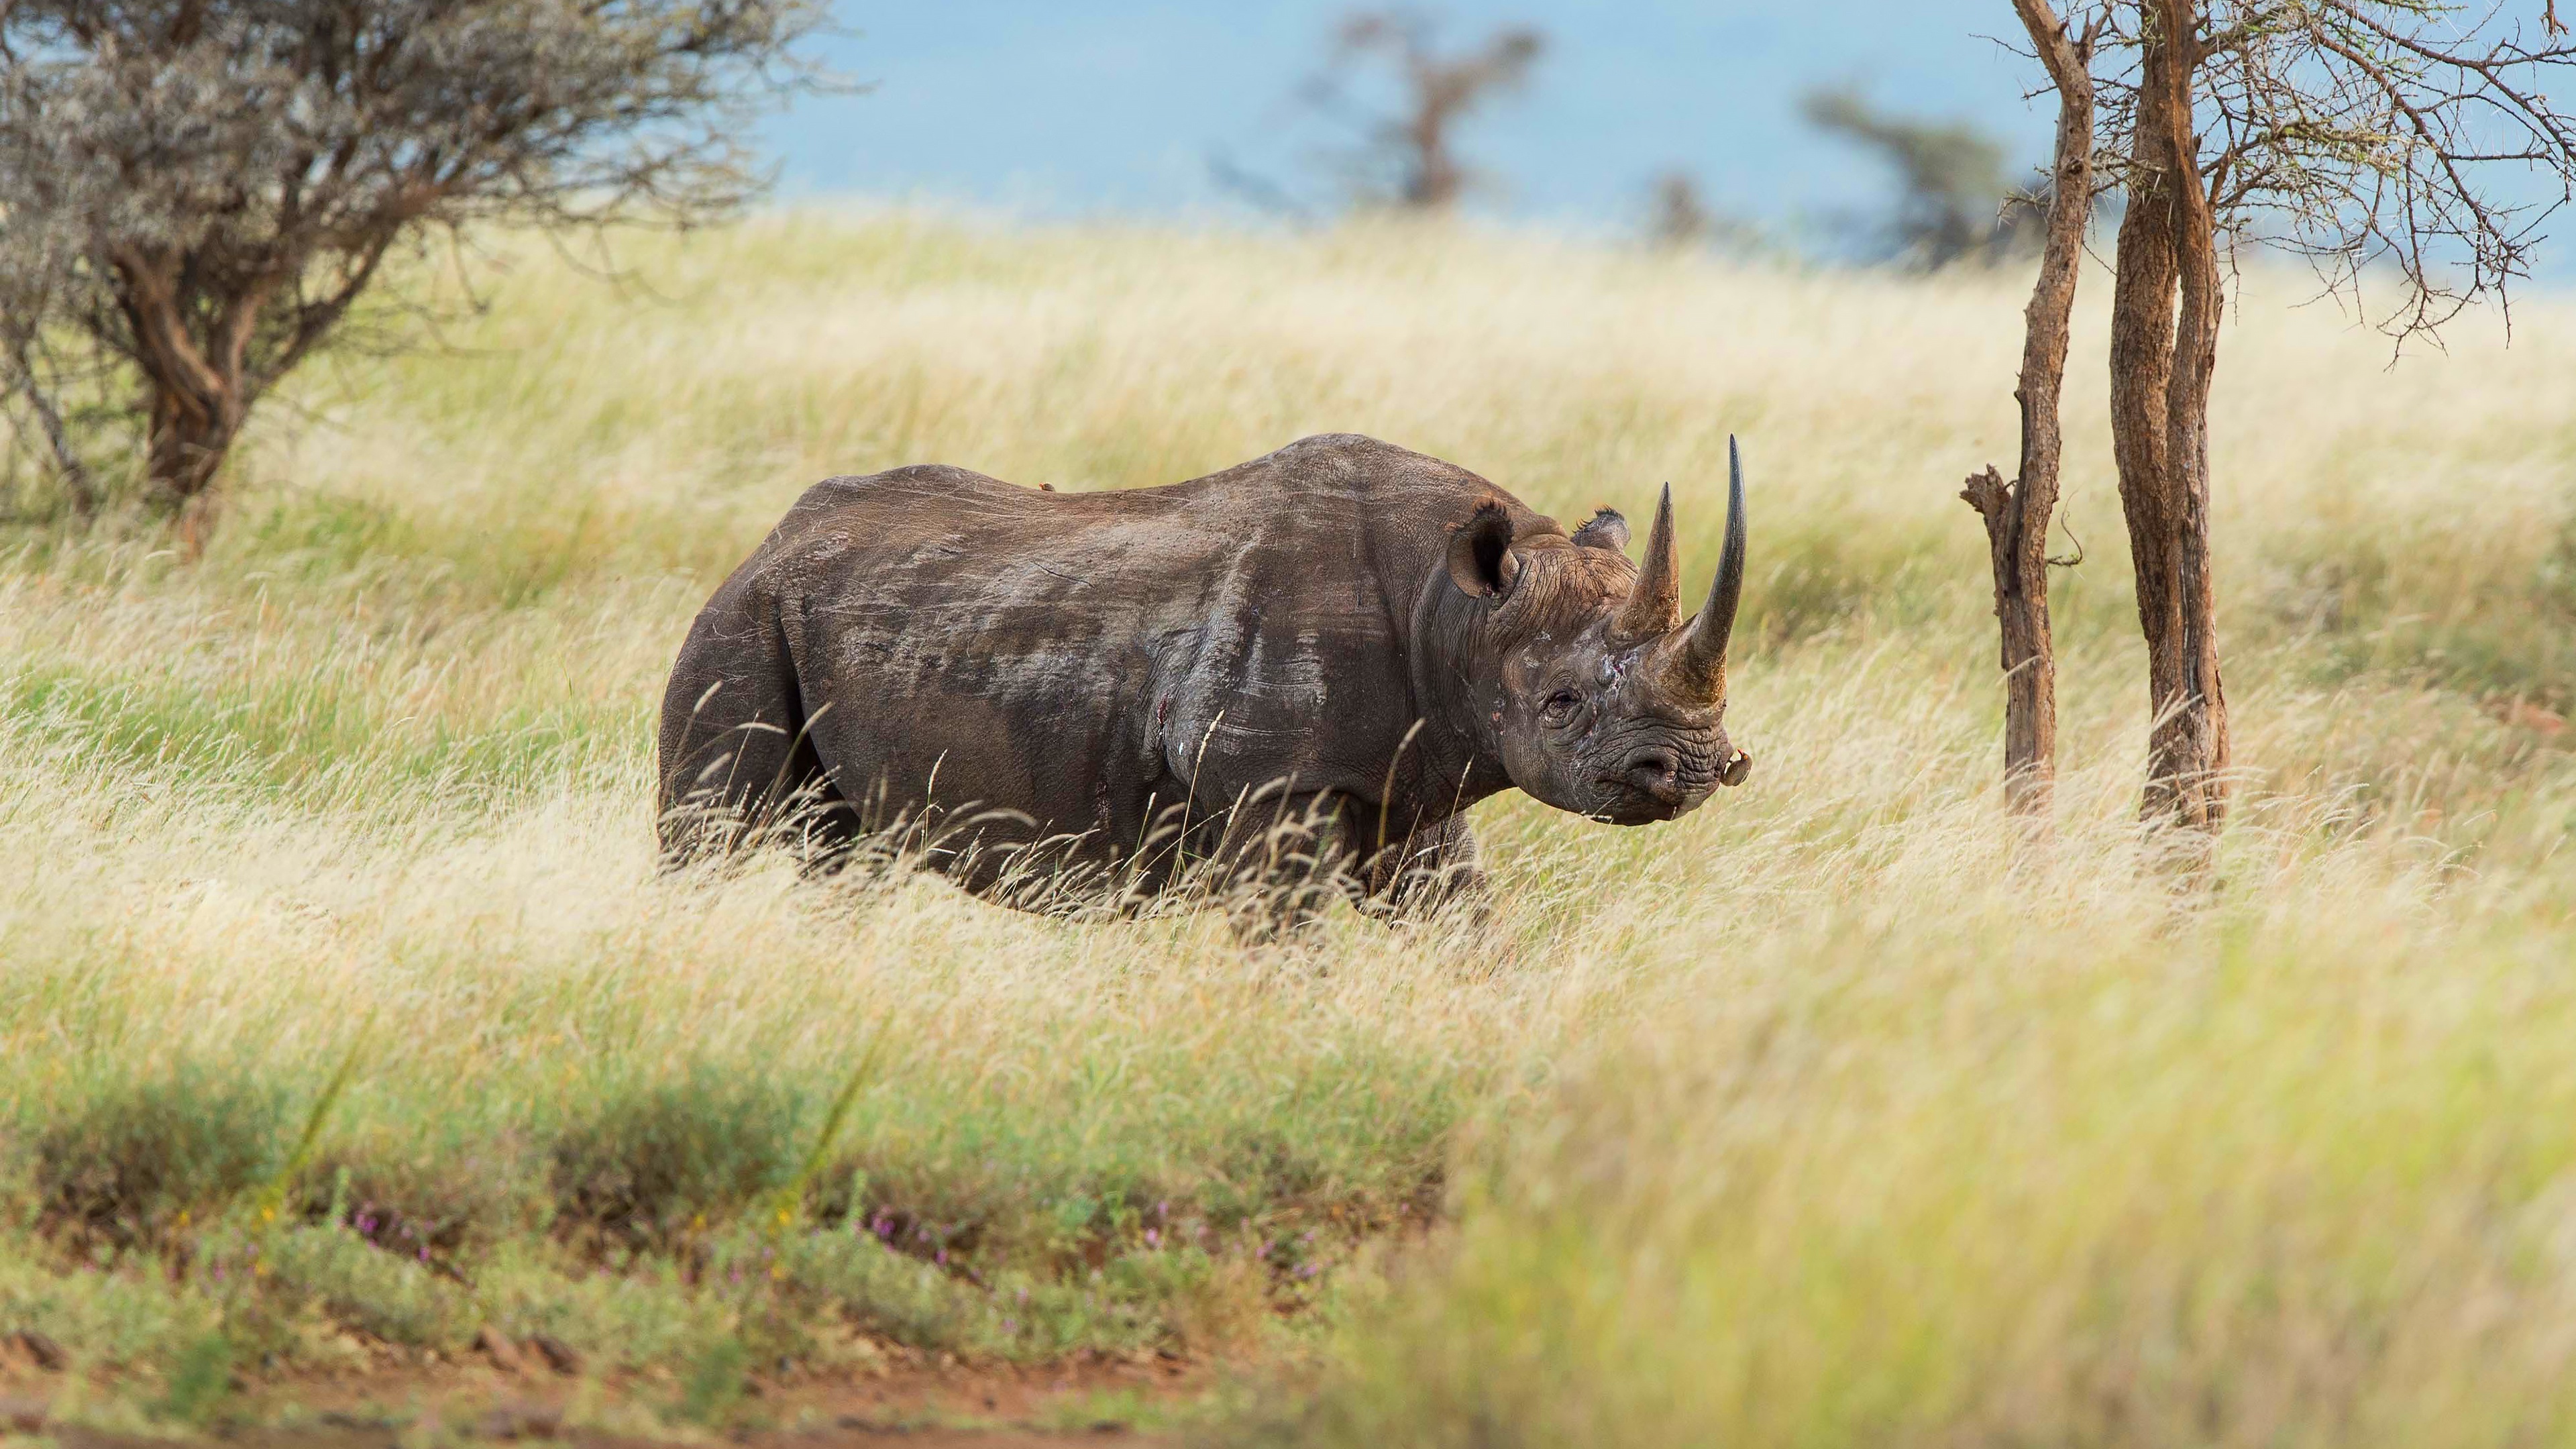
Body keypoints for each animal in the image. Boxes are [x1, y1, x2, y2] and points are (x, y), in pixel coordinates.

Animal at [654, 430, 1762, 922]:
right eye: (1562, 704)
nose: (1697, 770)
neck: (1455, 616)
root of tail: (772, 538)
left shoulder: (1411, 774)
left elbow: (1457, 920)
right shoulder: (1274, 778)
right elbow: (1286, 926)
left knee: (845, 848)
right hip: (744, 618)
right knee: (711, 831)